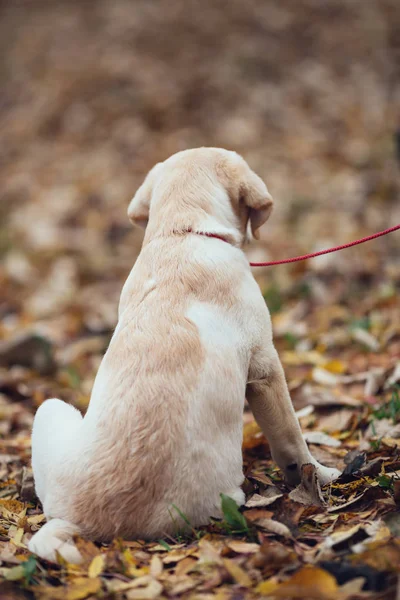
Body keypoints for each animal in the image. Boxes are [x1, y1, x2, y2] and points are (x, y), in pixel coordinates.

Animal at [28, 149, 340, 564]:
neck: (180, 234)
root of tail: (82, 524)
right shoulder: (265, 369)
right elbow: (292, 442)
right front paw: (321, 475)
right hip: (55, 408)